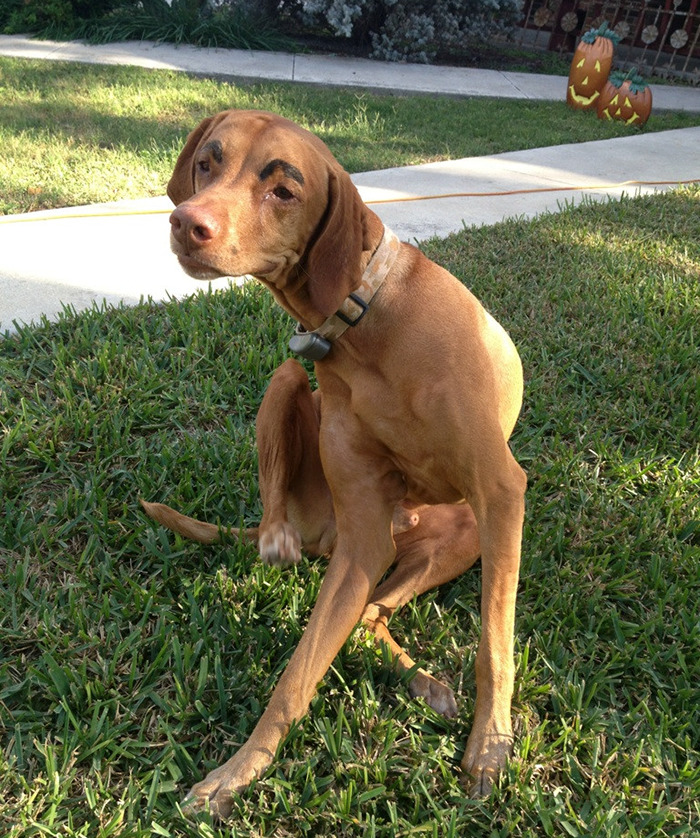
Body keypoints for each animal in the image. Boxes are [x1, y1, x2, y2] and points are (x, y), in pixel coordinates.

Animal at [142, 108, 524, 816]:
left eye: (283, 190)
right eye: (208, 162)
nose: (186, 223)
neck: (368, 320)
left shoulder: (502, 491)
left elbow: (495, 642)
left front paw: (490, 746)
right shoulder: (360, 545)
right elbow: (295, 679)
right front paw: (234, 775)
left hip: (458, 536)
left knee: (375, 613)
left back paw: (430, 686)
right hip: (292, 398)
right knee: (334, 576)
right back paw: (279, 538)